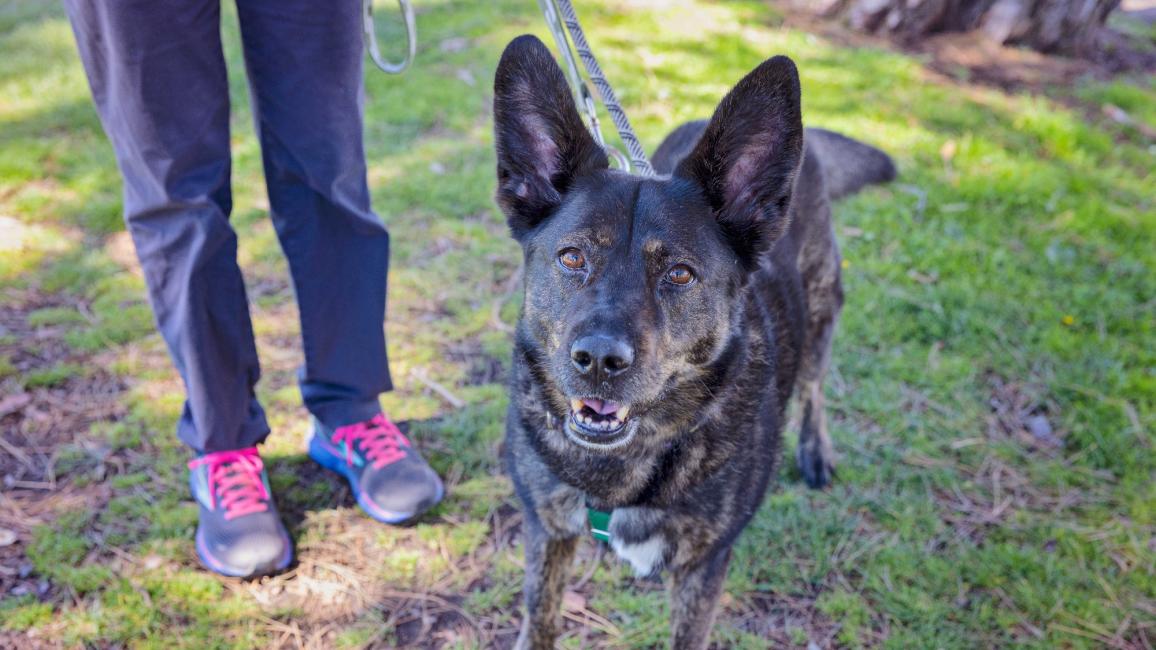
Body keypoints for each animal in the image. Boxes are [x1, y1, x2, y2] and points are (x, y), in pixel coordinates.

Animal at [492, 35, 897, 647]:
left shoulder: (703, 568)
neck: (623, 470)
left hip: (822, 308)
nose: (598, 360)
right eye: (572, 258)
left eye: (680, 274)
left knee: (814, 384)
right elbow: (539, 619)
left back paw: (814, 449)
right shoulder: (547, 532)